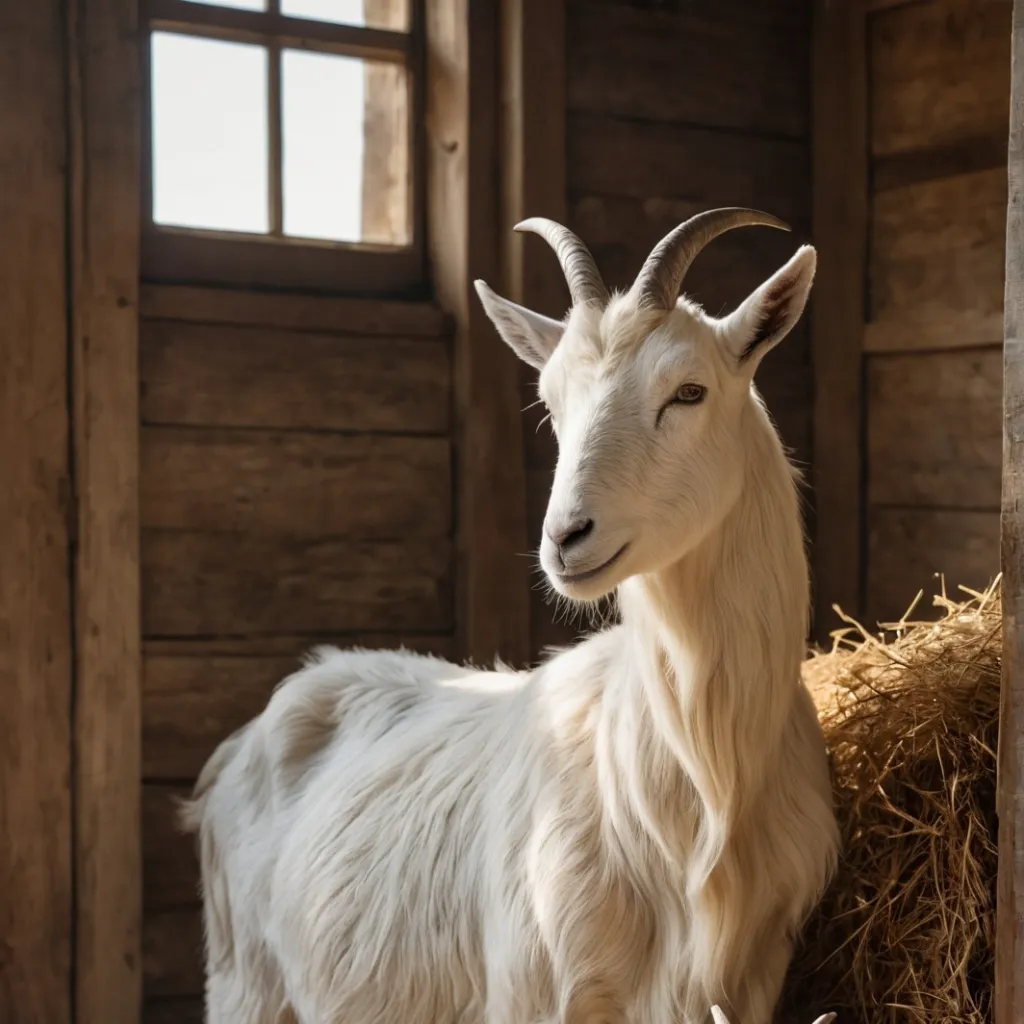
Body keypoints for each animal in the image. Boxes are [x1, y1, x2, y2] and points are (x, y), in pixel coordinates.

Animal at [183, 208, 840, 1024]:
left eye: (689, 391)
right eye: (552, 402)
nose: (565, 537)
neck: (704, 786)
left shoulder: (751, 978)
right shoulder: (534, 992)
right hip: (245, 984)